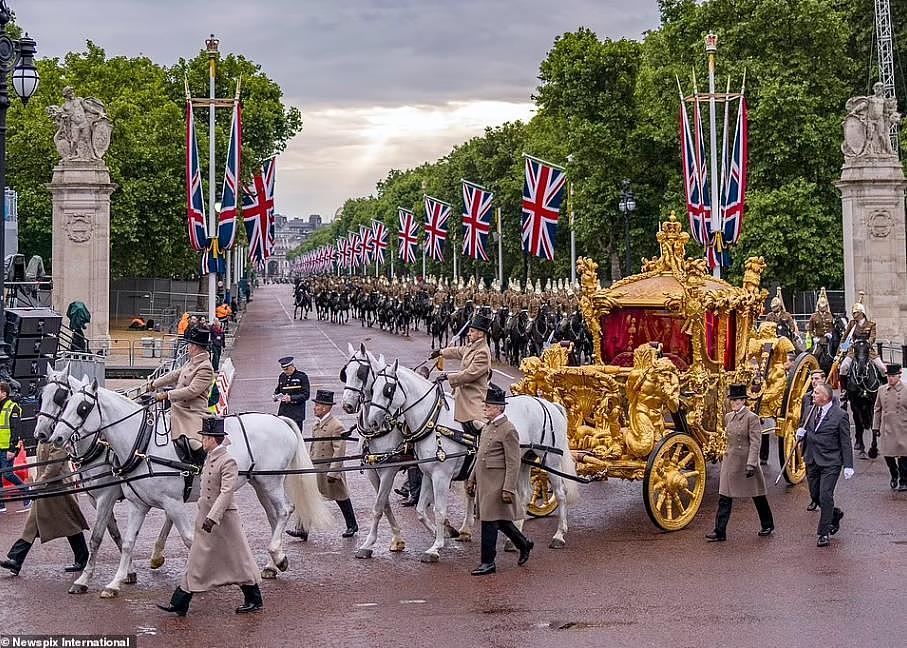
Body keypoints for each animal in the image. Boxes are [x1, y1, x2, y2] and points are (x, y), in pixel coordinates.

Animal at [47, 380, 330, 596]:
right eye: (66, 403)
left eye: (82, 408)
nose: (54, 437)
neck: (141, 444)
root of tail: (280, 420)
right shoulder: (138, 504)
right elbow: (127, 542)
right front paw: (115, 582)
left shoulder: (165, 502)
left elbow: (188, 539)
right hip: (260, 482)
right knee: (274, 516)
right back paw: (275, 562)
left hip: (270, 481)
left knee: (284, 511)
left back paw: (275, 555)